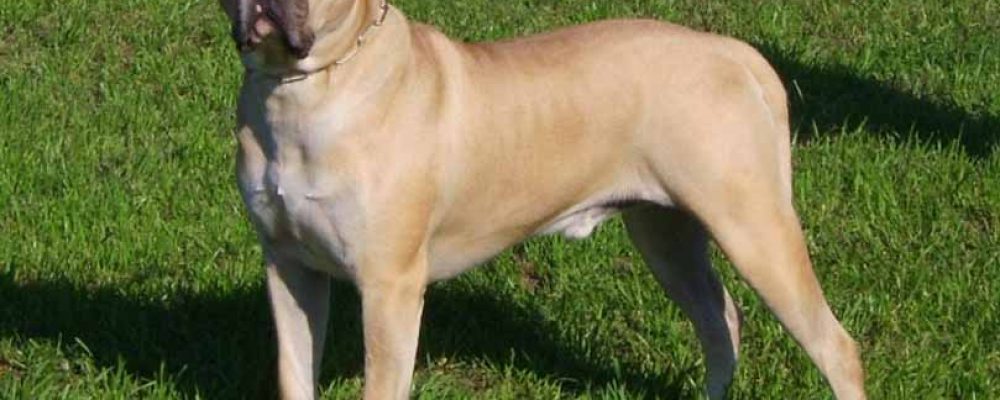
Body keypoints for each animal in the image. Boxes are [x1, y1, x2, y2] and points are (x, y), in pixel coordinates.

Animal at [217, 0, 866, 398]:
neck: (307, 88)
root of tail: (730, 51)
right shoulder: (290, 269)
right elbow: (295, 372)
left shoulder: (388, 286)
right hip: (667, 237)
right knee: (720, 321)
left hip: (753, 227)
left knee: (835, 346)